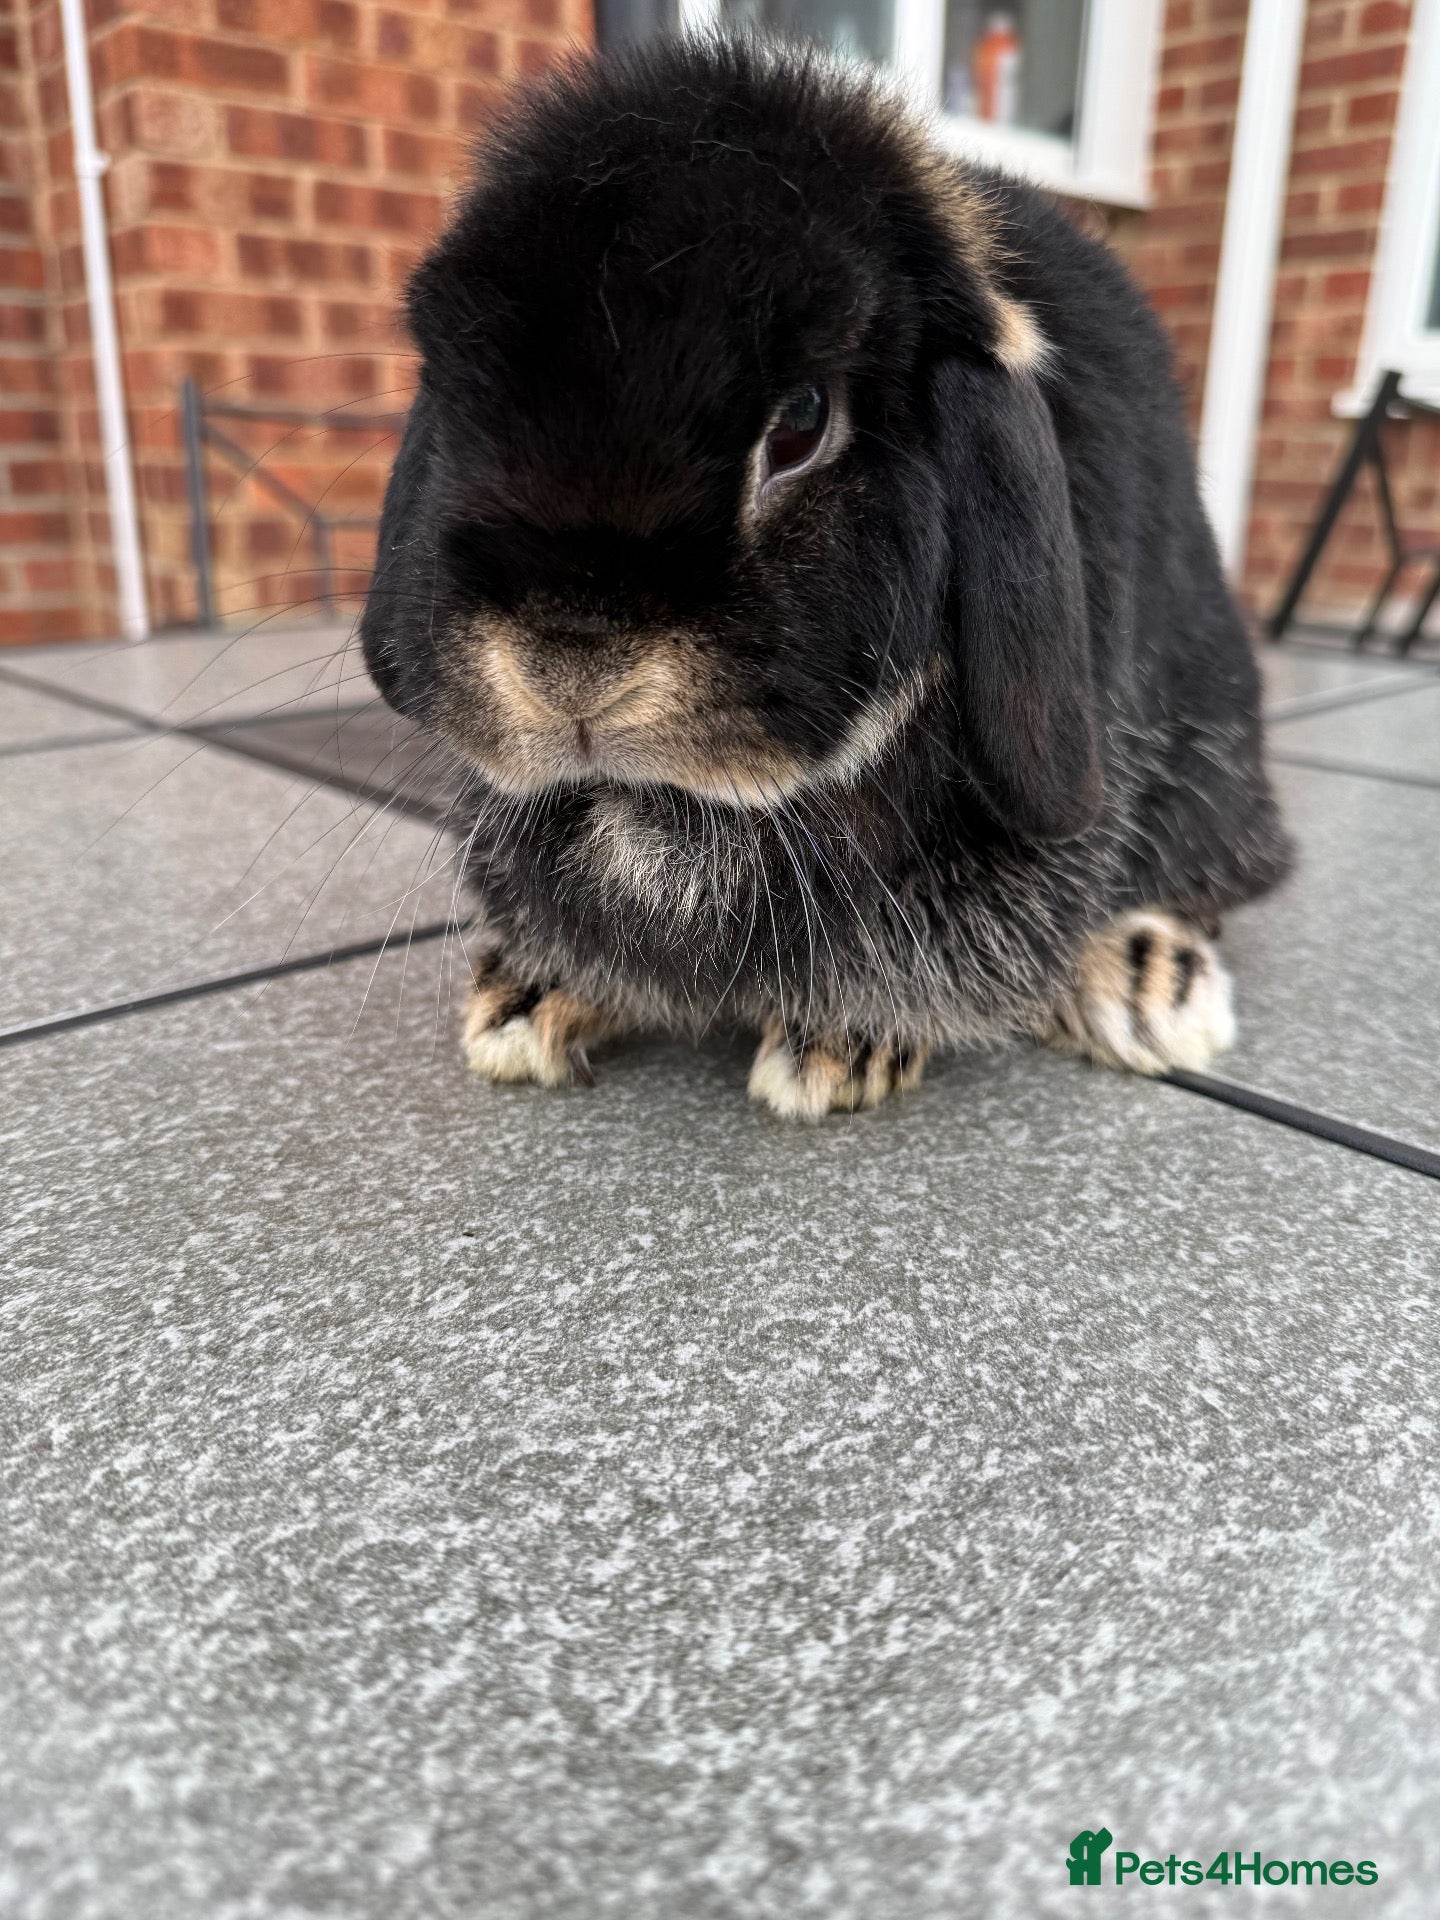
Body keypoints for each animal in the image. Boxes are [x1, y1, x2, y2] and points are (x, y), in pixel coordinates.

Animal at [360, 34, 1291, 1119]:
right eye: (456, 401)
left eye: (803, 423)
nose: (569, 662)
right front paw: (529, 998)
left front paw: (837, 1051)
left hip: (1212, 755)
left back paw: (1149, 983)